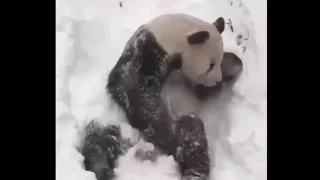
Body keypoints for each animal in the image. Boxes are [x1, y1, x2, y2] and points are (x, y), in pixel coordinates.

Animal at [81, 13, 229, 180]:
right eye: (211, 65)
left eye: (219, 62)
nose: (217, 80)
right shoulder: (147, 50)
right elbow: (138, 89)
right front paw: (160, 129)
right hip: (110, 122)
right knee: (98, 144)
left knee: (194, 137)